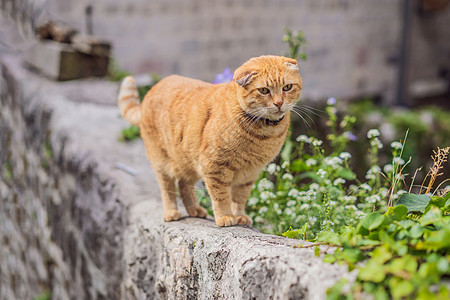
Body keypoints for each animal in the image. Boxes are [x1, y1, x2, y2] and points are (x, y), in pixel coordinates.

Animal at [119, 55, 302, 226]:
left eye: (287, 87)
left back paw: (195, 210)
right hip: (162, 162)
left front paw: (240, 216)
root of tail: (155, 87)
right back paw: (171, 213)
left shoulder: (249, 173)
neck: (263, 134)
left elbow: (240, 198)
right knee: (168, 189)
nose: (279, 103)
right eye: (264, 90)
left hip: (188, 161)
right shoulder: (215, 167)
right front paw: (226, 217)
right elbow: (221, 196)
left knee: (184, 185)